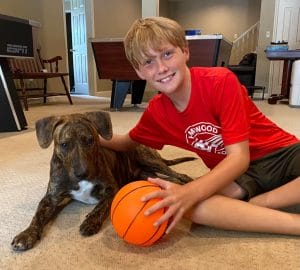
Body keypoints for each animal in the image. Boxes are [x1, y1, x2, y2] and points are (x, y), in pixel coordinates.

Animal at [11, 109, 195, 251]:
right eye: (64, 144)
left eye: (90, 141)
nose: (82, 173)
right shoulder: (51, 198)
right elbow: (38, 215)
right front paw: (26, 234)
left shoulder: (111, 189)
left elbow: (101, 206)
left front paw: (90, 221)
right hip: (147, 174)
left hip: (148, 159)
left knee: (177, 174)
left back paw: (185, 183)